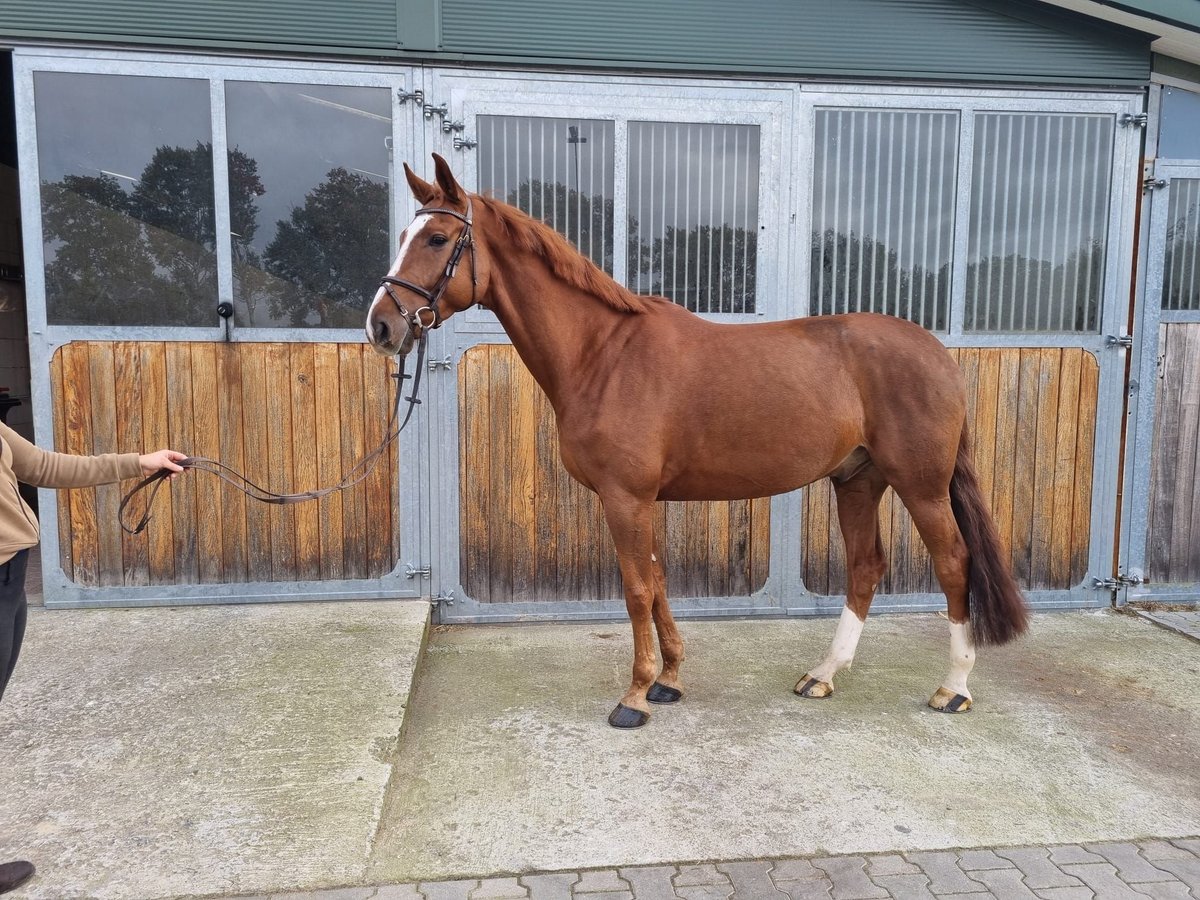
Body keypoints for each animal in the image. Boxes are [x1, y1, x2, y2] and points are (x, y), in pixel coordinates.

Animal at [366, 153, 1030, 729]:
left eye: (436, 239)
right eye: (401, 234)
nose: (381, 325)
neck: (602, 355)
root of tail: (937, 354)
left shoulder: (625, 498)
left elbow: (637, 590)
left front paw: (635, 697)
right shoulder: (644, 501)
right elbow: (659, 585)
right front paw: (669, 681)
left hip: (921, 486)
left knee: (954, 563)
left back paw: (953, 688)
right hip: (858, 480)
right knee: (866, 567)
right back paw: (823, 674)